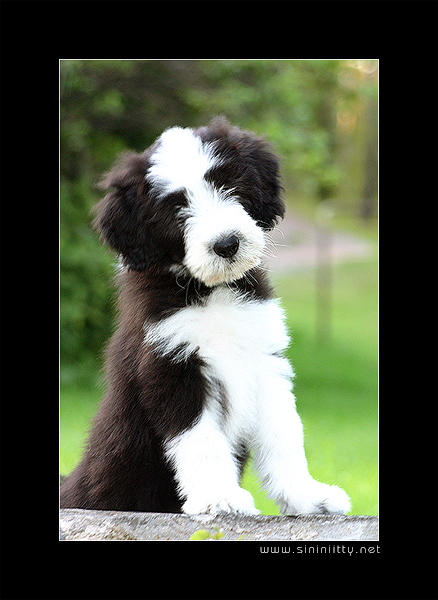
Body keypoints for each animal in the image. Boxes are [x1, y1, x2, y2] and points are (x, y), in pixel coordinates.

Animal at [60, 117, 350, 516]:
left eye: (228, 185)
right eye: (176, 210)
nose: (227, 244)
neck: (211, 294)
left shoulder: (264, 361)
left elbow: (284, 435)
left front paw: (307, 496)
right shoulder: (172, 369)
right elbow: (202, 441)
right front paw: (219, 497)